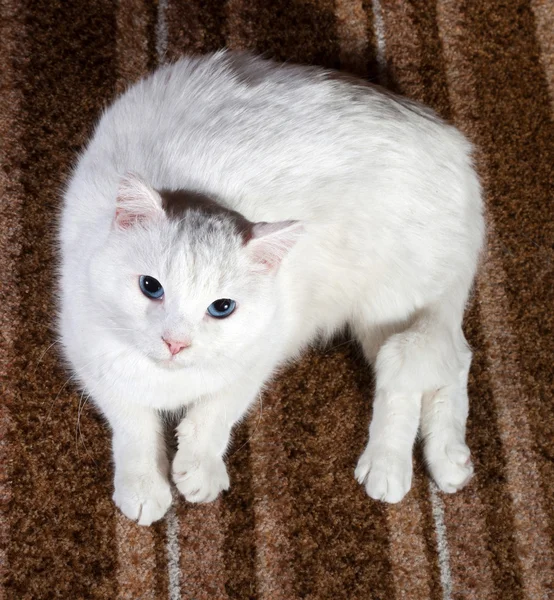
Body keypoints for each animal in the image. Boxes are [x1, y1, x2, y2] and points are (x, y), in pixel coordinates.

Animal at [59, 51, 484, 524]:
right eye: (150, 287)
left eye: (221, 308)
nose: (175, 343)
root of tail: (453, 146)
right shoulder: (90, 356)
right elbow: (135, 427)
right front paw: (143, 486)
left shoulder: (262, 353)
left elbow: (214, 415)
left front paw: (199, 468)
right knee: (447, 365)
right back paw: (446, 460)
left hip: (386, 306)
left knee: (417, 375)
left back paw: (393, 465)